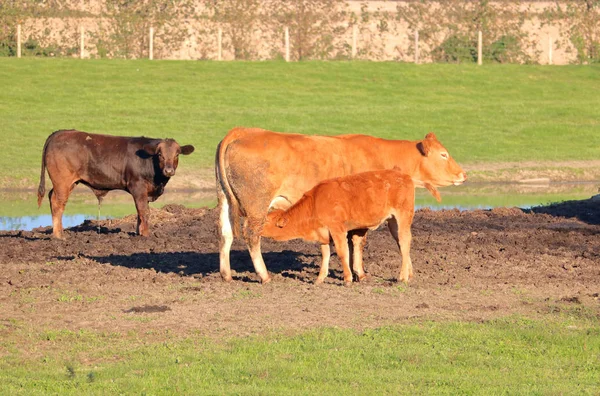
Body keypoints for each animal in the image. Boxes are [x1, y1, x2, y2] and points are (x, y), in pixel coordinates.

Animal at [37, 129, 195, 238]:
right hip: (62, 181)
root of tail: (60, 132)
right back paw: (59, 236)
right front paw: (145, 235)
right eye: (160, 154)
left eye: (177, 154)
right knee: (58, 203)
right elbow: (143, 211)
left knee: (52, 197)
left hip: (68, 183)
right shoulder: (138, 187)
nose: (169, 170)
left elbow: (141, 212)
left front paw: (138, 233)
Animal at [262, 169, 440, 286]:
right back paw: (410, 274)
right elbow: (325, 254)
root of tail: (405, 176)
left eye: (265, 221)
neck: (316, 202)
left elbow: (342, 253)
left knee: (404, 242)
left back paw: (402, 277)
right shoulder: (324, 234)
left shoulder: (338, 230)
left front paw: (347, 279)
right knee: (402, 244)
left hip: (402, 218)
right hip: (393, 222)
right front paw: (319, 279)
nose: (255, 227)